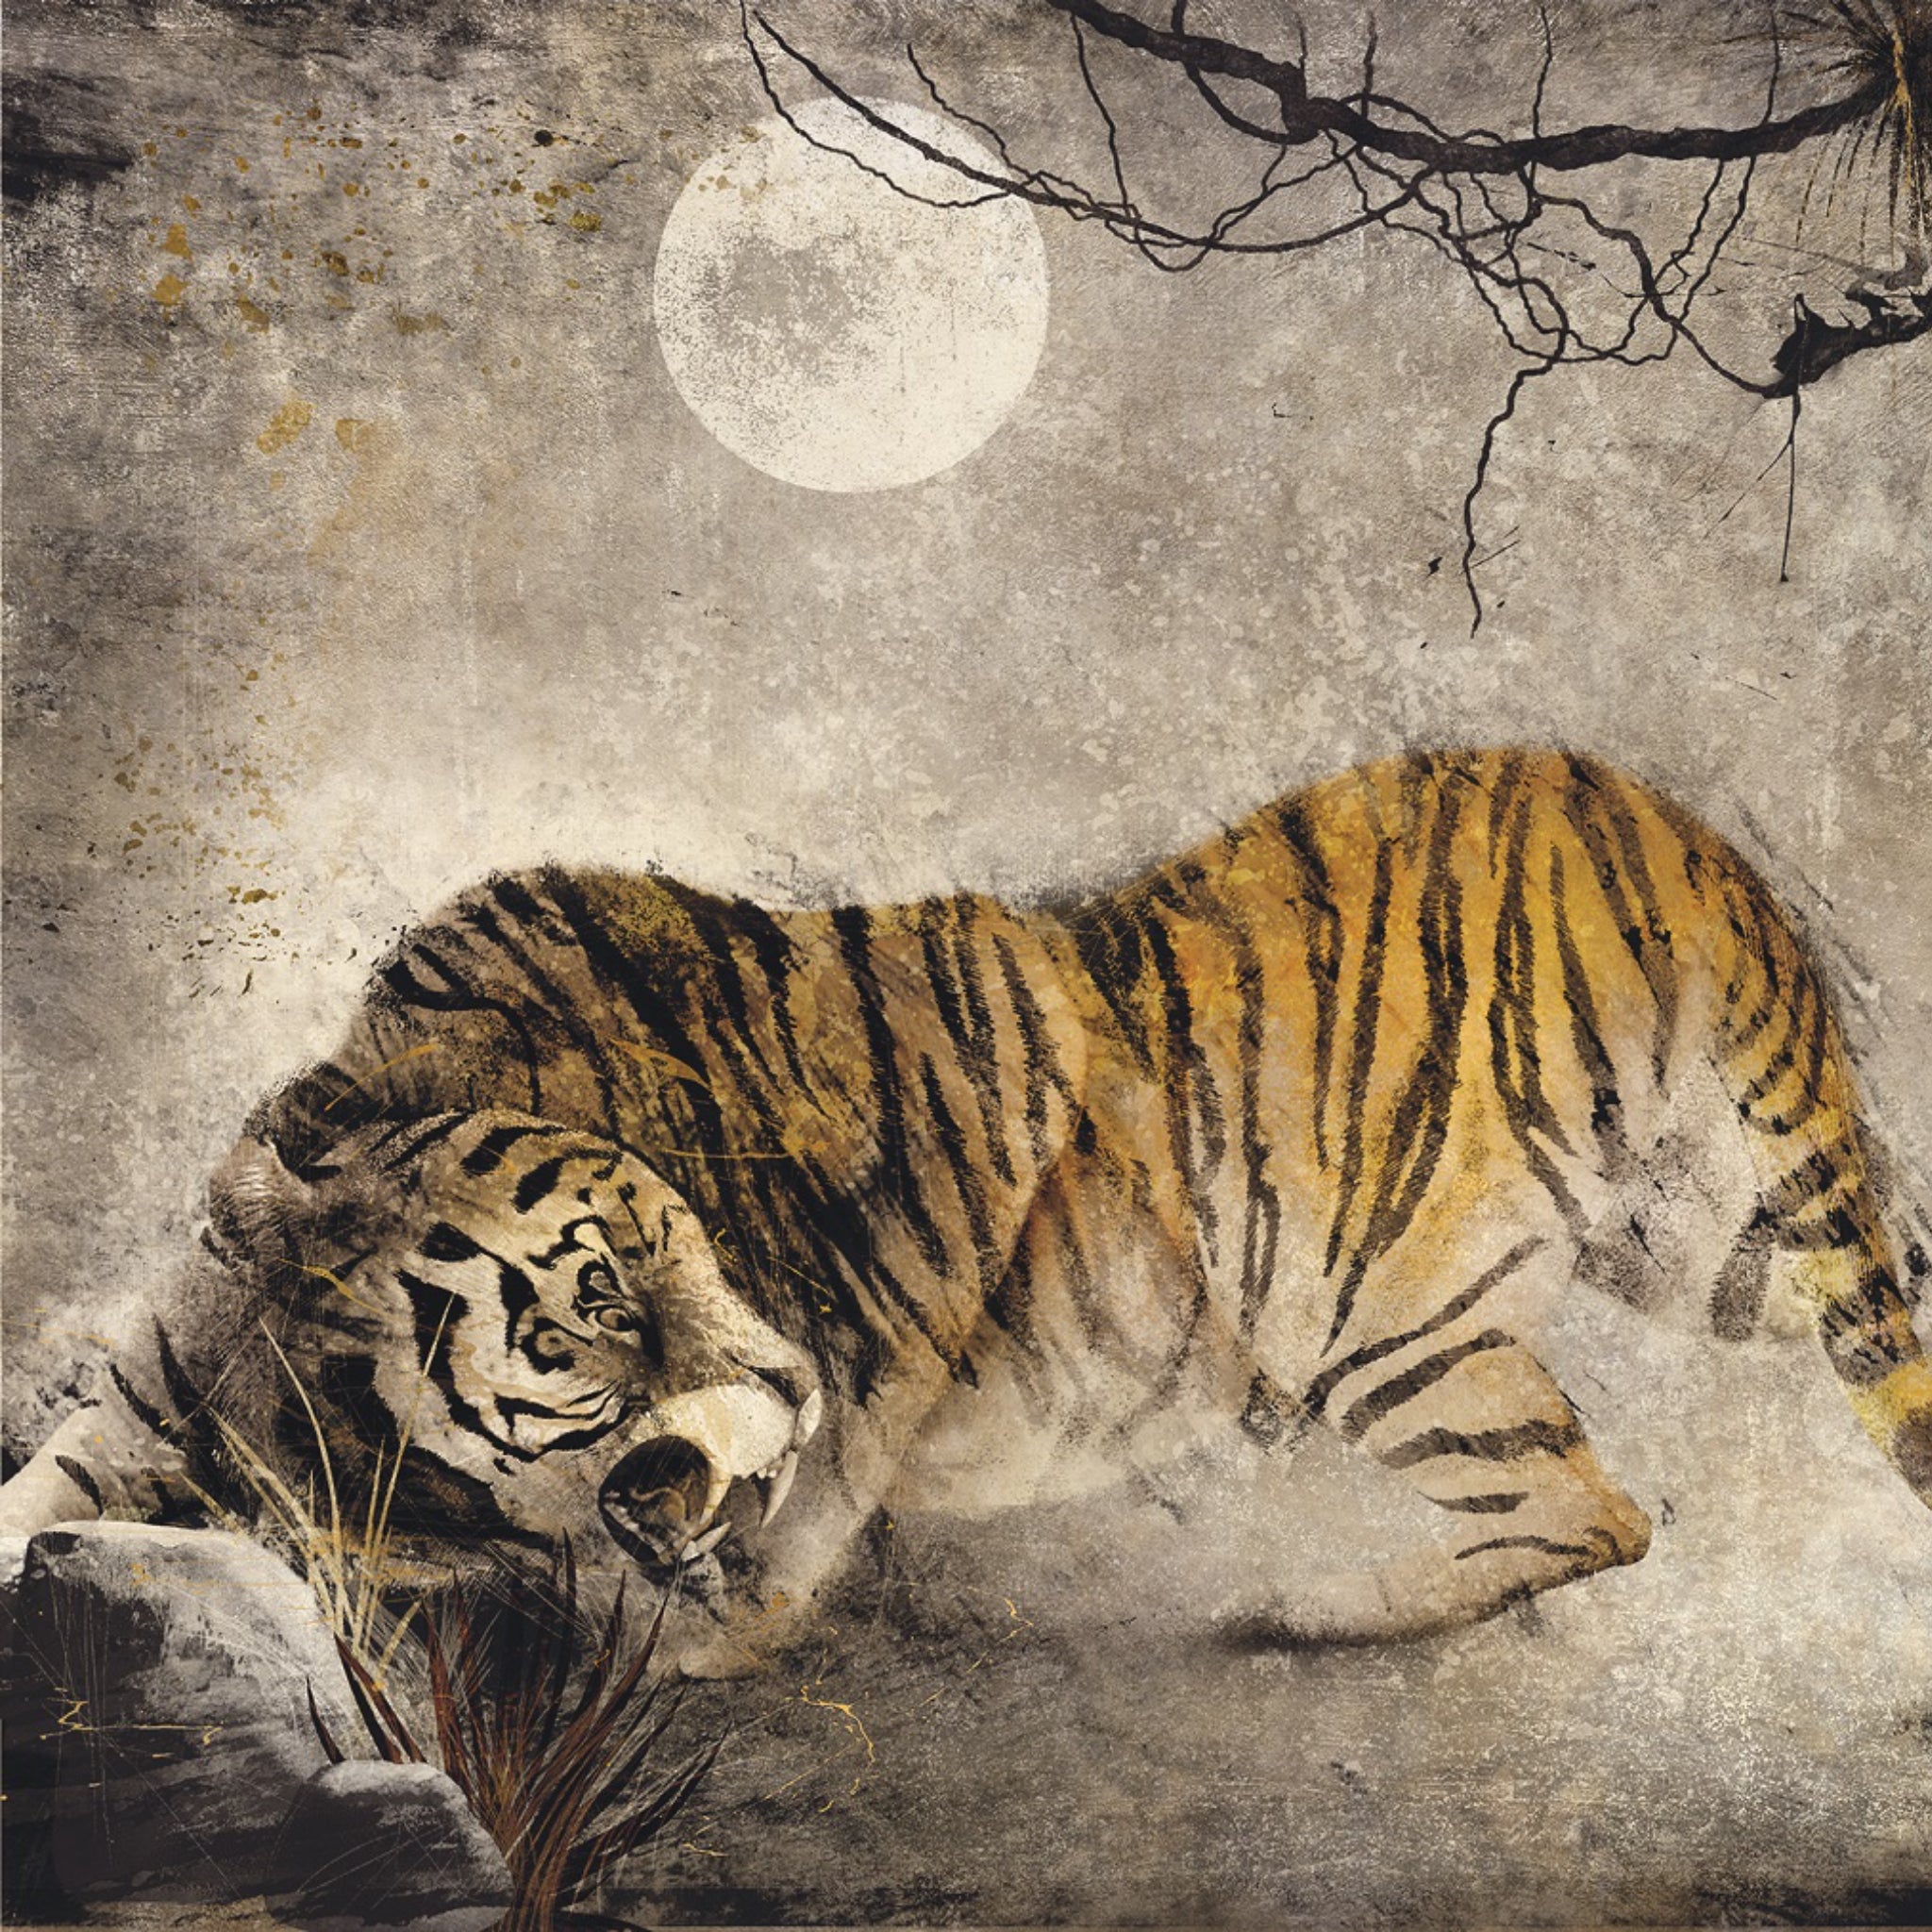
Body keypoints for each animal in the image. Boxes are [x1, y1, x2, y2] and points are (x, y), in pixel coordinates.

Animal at [4, 747, 1928, 1671]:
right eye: (577, 1353)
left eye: (629, 1282)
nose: (771, 1414)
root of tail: (1654, 821)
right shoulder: (180, 1364)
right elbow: (78, 1472)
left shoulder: (736, 1575)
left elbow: (519, 1590)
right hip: (1721, 1244)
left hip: (1368, 1312)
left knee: (1592, 1502)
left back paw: (1302, 1610)